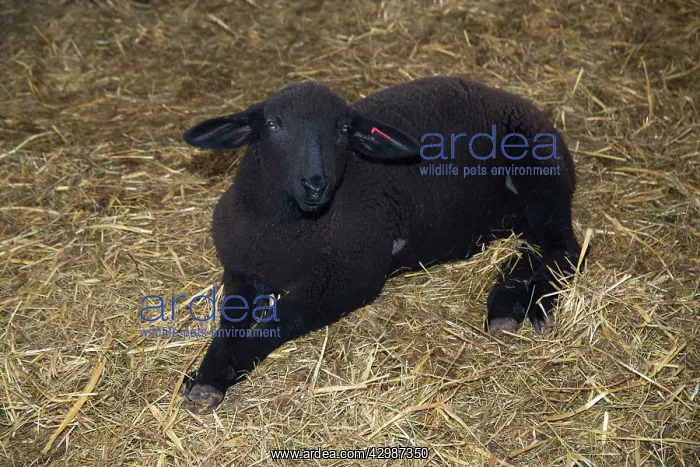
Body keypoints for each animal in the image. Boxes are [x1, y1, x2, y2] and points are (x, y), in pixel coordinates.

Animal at [180, 76, 581, 412]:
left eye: (343, 128)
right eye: (274, 125)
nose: (315, 183)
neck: (288, 232)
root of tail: (517, 100)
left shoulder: (348, 279)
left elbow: (278, 322)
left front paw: (211, 381)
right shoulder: (240, 271)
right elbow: (229, 322)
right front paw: (204, 373)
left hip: (542, 180)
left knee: (565, 248)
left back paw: (532, 305)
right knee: (534, 246)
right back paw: (506, 303)